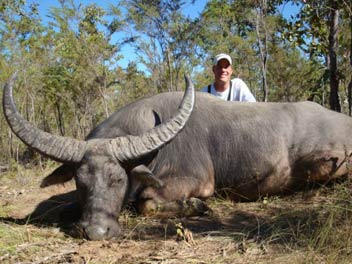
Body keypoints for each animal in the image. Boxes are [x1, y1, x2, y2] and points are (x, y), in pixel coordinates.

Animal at [2, 73, 352, 239]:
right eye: (79, 182)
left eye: (118, 180)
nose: (96, 232)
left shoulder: (194, 182)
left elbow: (146, 204)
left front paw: (196, 207)